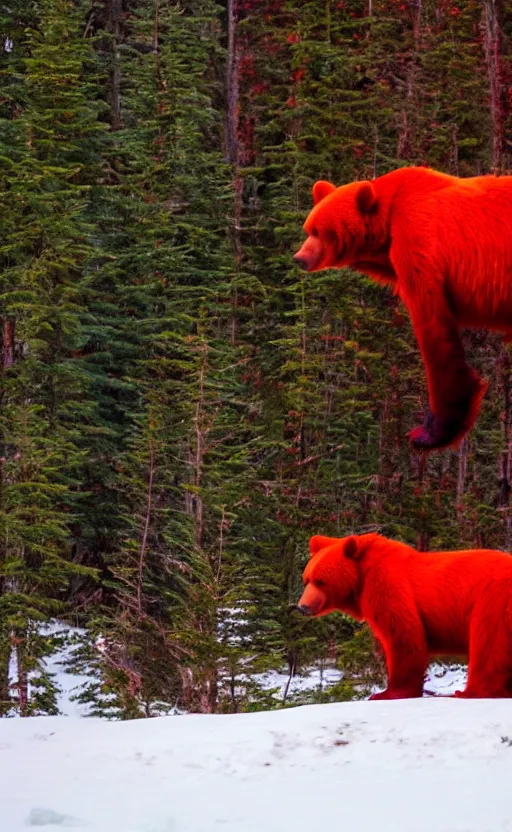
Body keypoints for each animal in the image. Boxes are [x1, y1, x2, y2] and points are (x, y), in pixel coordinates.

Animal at [292, 167, 512, 452]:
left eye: (320, 231)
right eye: (309, 228)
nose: (299, 258)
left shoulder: (419, 244)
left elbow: (435, 331)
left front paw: (432, 431)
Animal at [298, 528, 512, 700]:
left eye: (320, 581)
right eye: (307, 579)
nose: (302, 607)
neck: (361, 577)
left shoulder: (386, 584)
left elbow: (403, 635)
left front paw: (386, 693)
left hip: (492, 598)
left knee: (488, 643)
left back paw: (470, 692)